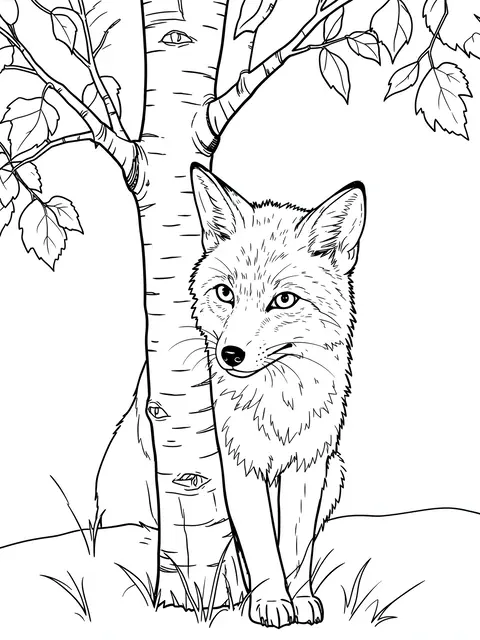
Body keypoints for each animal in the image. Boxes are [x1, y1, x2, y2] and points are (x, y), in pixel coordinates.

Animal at [189, 164, 366, 628]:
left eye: (283, 300)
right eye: (225, 293)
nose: (230, 354)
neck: (279, 407)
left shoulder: (310, 466)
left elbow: (295, 545)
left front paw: (298, 598)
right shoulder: (239, 465)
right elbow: (262, 545)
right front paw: (271, 601)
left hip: (336, 473)